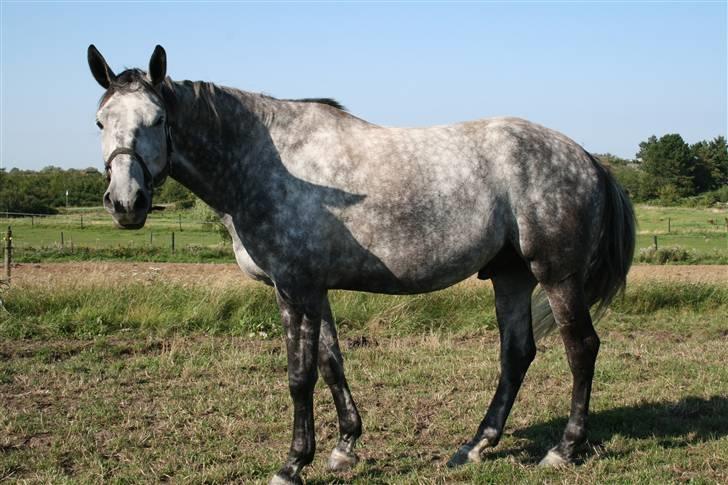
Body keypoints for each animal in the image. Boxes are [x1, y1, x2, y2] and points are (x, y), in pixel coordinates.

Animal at [88, 46, 636, 484]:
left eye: (158, 120)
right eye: (100, 121)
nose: (126, 202)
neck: (266, 164)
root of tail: (586, 157)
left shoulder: (295, 289)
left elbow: (299, 376)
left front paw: (293, 464)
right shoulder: (315, 289)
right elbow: (332, 364)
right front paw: (343, 448)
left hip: (556, 276)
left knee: (581, 349)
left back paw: (563, 450)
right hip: (511, 275)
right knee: (517, 353)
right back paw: (475, 445)